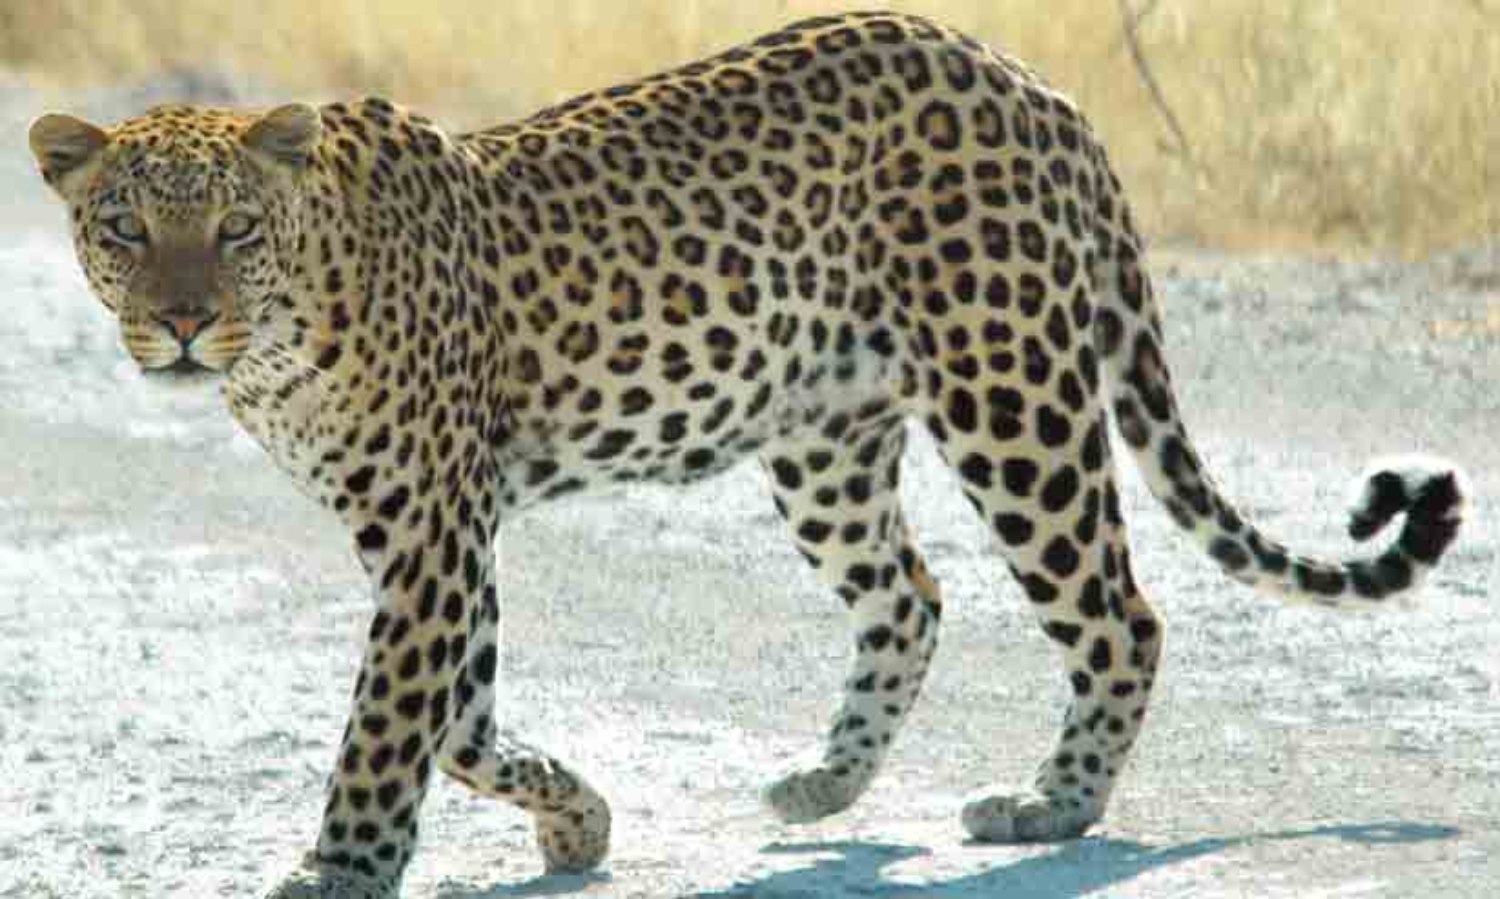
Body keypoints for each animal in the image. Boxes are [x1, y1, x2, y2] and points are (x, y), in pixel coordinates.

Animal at [29, 11, 1467, 898]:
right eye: (123, 227)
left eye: (233, 229)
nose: (181, 322)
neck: (284, 335)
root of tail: (1030, 80)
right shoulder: (436, 534)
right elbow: (464, 720)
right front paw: (578, 818)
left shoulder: (430, 531)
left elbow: (391, 726)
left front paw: (341, 865)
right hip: (824, 437)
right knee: (912, 594)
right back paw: (827, 781)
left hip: (1012, 392)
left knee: (1121, 608)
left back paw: (1051, 806)